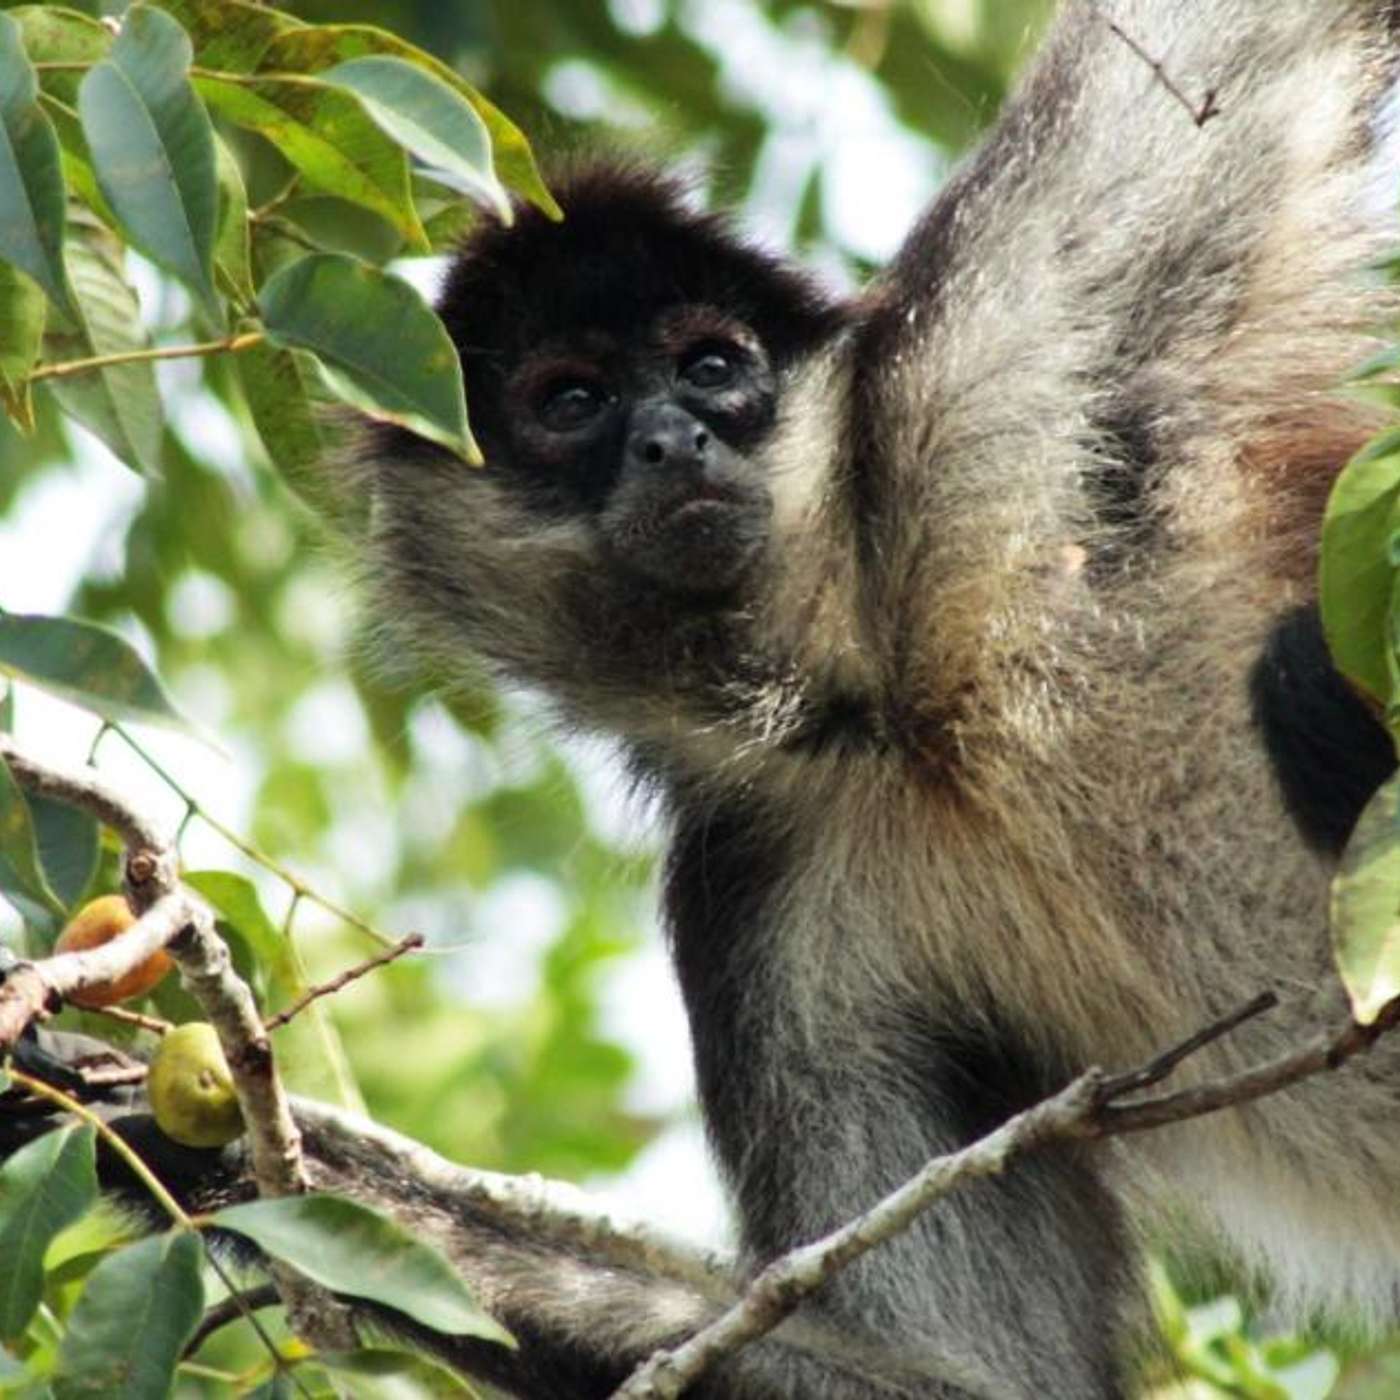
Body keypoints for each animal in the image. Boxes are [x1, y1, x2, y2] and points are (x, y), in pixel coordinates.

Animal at [8, 2, 1400, 1396]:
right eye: (571, 399)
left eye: (711, 366)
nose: (673, 437)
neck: (880, 701)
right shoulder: (755, 883)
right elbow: (973, 1375)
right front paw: (162, 1136)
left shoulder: (979, 380)